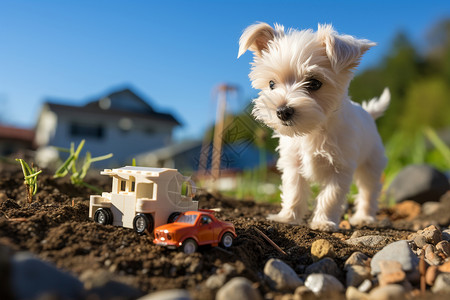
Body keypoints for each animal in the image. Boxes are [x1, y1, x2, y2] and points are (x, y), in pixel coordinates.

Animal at [239, 23, 390, 232]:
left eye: (314, 83)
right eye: (271, 84)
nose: (282, 111)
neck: (312, 132)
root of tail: (368, 112)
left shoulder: (339, 168)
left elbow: (330, 197)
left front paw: (323, 222)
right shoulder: (293, 165)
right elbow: (293, 192)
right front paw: (287, 218)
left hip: (371, 164)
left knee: (369, 191)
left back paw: (363, 218)